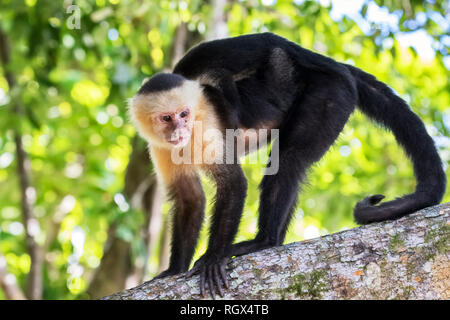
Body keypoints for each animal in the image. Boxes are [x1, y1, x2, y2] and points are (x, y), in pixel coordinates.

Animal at [127, 31, 446, 298]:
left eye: (184, 114)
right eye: (166, 118)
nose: (180, 130)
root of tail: (337, 69)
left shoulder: (205, 126)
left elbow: (233, 183)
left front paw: (213, 257)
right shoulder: (159, 147)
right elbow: (189, 197)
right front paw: (174, 269)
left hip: (330, 93)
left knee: (288, 160)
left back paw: (264, 241)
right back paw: (275, 240)